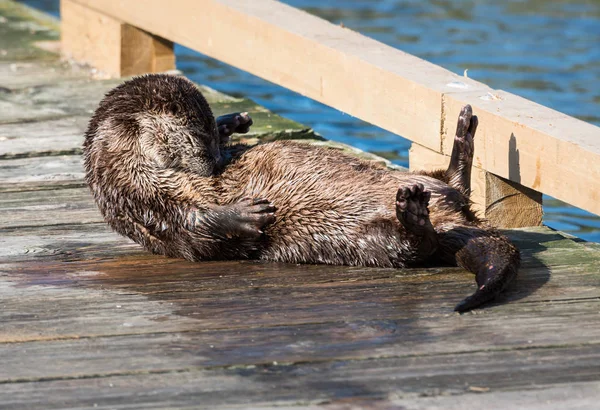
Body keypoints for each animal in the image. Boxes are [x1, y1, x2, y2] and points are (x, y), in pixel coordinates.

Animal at [84, 73, 520, 310]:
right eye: (199, 138)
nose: (215, 161)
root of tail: (457, 221)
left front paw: (235, 121)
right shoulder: (136, 194)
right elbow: (191, 224)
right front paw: (247, 214)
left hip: (428, 184)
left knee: (452, 184)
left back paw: (462, 134)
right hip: (372, 241)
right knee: (420, 246)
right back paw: (412, 211)